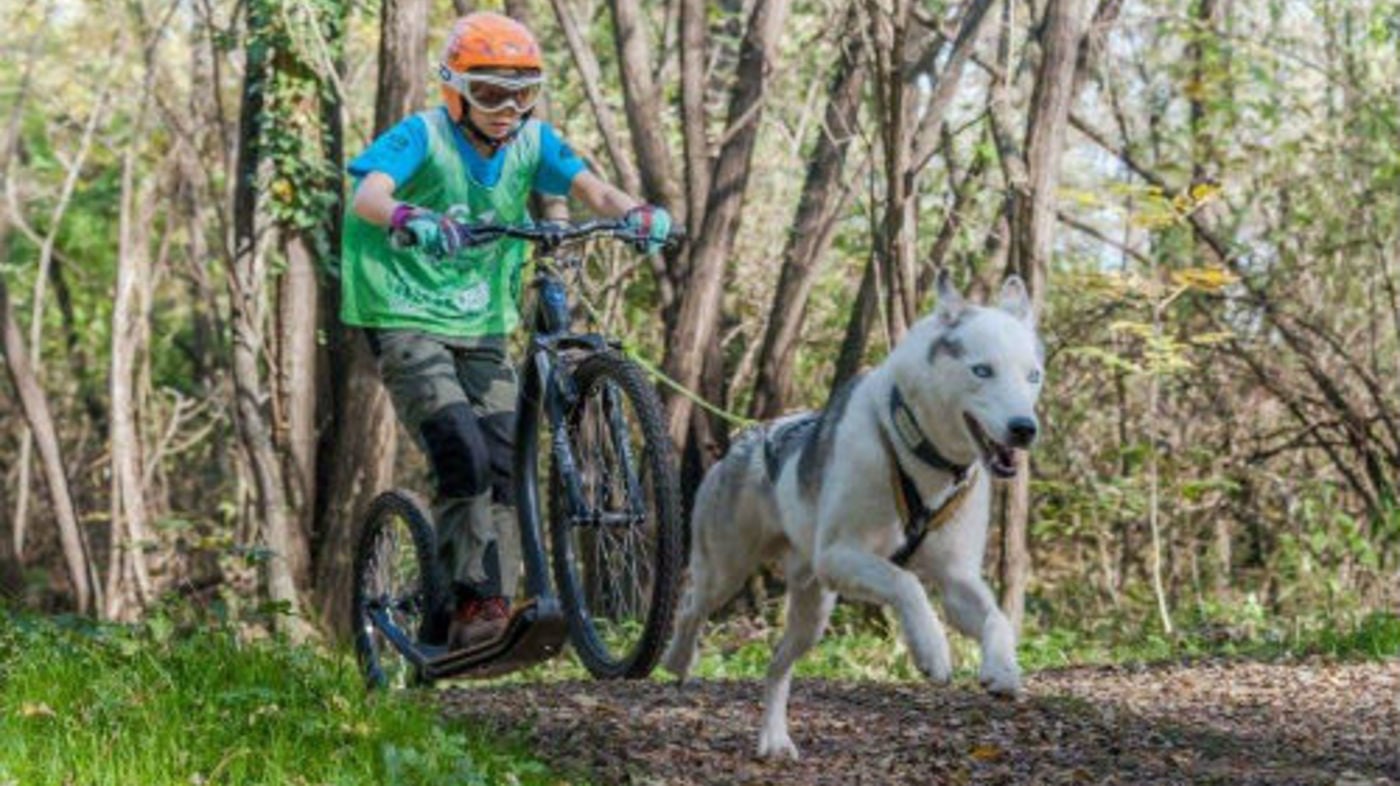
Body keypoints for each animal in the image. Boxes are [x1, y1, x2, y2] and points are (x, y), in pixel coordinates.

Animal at [660, 273, 1047, 756]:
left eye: (1033, 376)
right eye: (982, 370)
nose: (1024, 428)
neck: (916, 450)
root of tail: (748, 438)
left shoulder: (956, 580)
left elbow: (997, 619)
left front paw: (1002, 668)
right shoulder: (841, 555)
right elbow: (908, 583)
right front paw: (932, 650)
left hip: (813, 611)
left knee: (777, 664)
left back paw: (774, 739)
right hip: (727, 570)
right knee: (691, 604)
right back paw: (678, 659)